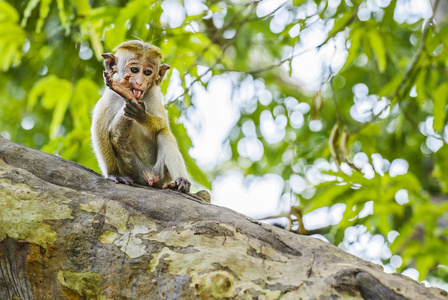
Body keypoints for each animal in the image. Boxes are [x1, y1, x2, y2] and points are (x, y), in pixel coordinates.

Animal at [91, 40, 191, 192]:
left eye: (147, 72)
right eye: (134, 70)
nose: (139, 82)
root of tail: (149, 177)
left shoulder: (155, 95)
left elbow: (163, 125)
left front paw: (140, 115)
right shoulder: (109, 97)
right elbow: (99, 130)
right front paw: (113, 174)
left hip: (162, 174)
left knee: (164, 134)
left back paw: (180, 181)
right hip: (133, 170)